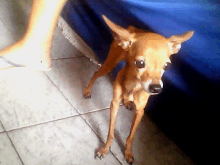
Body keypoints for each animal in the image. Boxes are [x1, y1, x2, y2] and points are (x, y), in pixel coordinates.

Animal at [83, 15, 193, 164]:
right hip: (109, 65)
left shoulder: (140, 112)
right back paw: (87, 90)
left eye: (167, 66)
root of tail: (134, 29)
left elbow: (131, 136)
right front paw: (105, 149)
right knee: (95, 74)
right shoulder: (114, 105)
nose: (156, 88)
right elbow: (111, 133)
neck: (133, 86)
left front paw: (128, 153)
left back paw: (128, 102)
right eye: (140, 63)